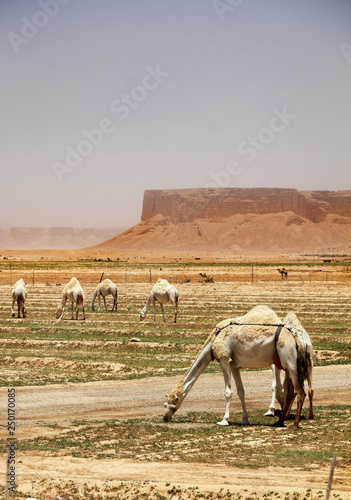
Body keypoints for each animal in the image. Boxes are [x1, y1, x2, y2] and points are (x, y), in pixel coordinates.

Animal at [164, 304, 314, 430]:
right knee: (291, 392)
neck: (213, 340)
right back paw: (280, 421)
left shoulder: (224, 359)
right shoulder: (234, 365)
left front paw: (224, 420)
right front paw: (244, 419)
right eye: (165, 404)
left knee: (300, 392)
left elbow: (228, 392)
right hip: (288, 365)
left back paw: (294, 424)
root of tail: (299, 339)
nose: (165, 417)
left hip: (291, 364)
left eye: (173, 405)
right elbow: (241, 391)